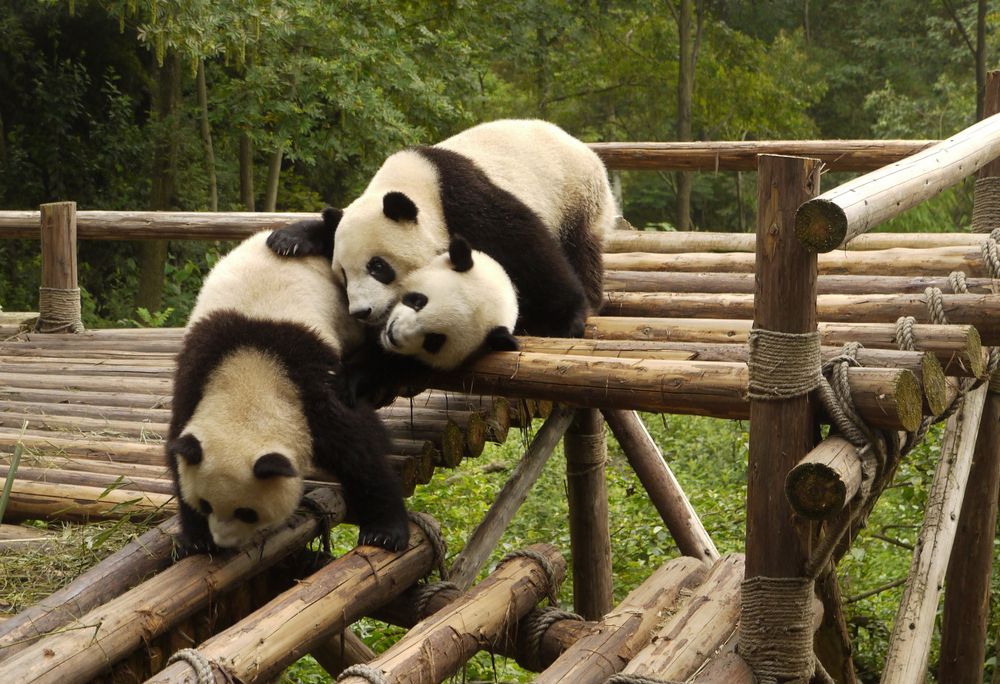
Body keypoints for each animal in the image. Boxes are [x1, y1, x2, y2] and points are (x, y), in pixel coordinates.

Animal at [167, 220, 410, 554]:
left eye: (247, 512)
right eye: (206, 505)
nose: (225, 542)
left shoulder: (311, 381)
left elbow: (361, 453)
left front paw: (385, 531)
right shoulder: (198, 371)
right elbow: (177, 452)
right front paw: (197, 538)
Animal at [267, 119, 616, 339]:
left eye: (378, 266)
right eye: (342, 274)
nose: (362, 311)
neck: (416, 182)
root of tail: (583, 147)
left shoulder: (462, 198)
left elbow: (524, 244)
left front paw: (563, 319)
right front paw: (288, 238)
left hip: (576, 197)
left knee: (579, 248)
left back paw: (587, 298)